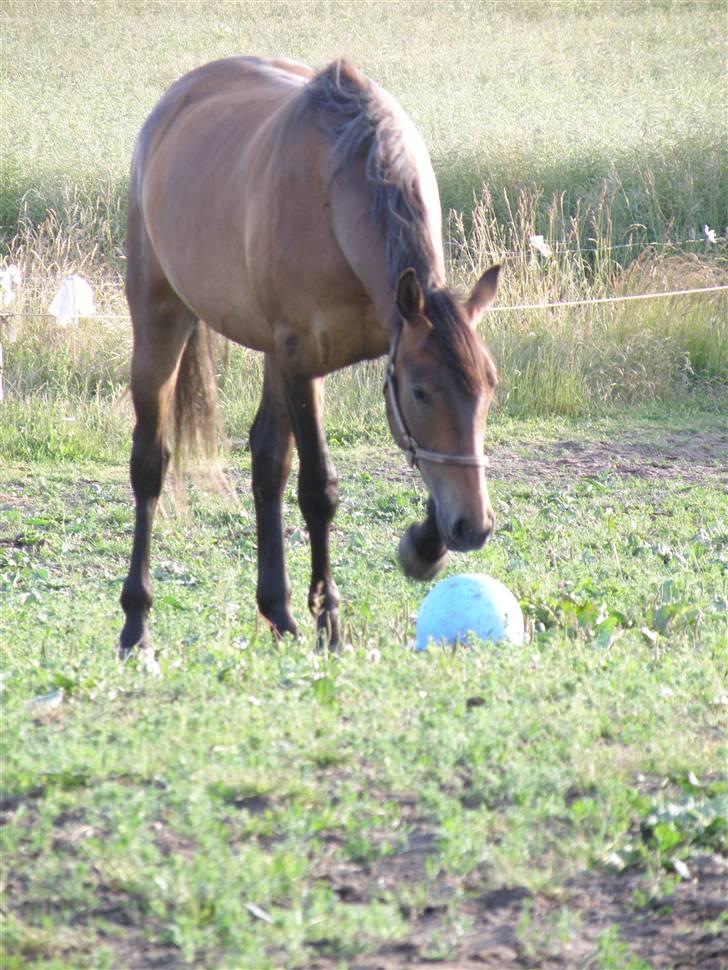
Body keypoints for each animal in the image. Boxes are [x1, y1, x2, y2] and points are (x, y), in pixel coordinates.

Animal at [121, 56, 500, 656]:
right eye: (420, 391)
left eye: (490, 387)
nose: (475, 528)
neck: (338, 190)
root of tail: (174, 101)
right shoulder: (304, 361)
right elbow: (319, 490)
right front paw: (331, 624)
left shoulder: (372, 340)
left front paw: (421, 546)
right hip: (161, 319)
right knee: (150, 465)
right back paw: (136, 624)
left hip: (269, 355)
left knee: (266, 461)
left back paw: (276, 611)